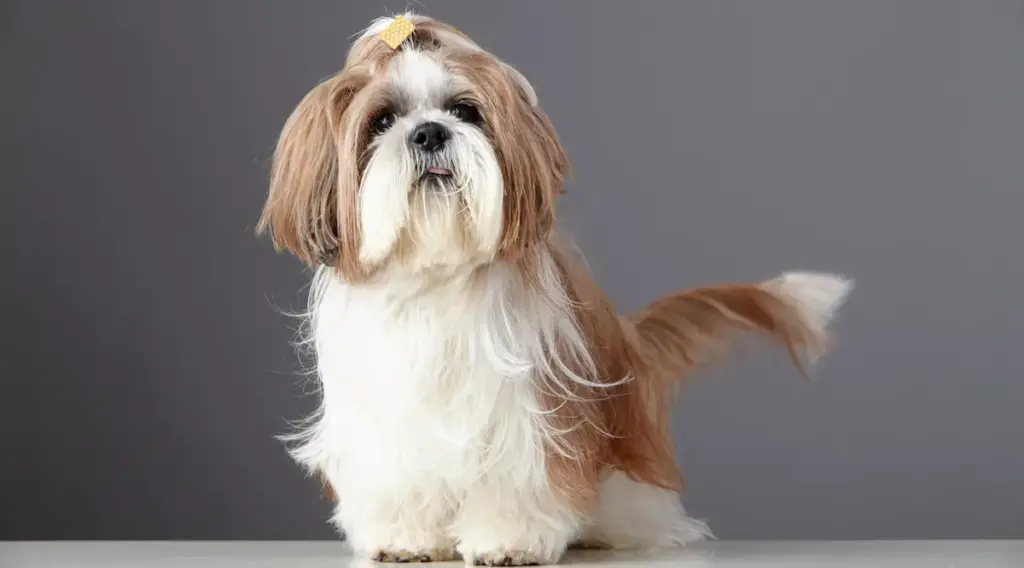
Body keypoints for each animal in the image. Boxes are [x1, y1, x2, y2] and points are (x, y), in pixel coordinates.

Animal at [256, 11, 847, 564]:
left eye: (465, 111)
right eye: (383, 120)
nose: (429, 132)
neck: (437, 276)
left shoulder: (526, 413)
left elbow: (515, 478)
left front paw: (507, 541)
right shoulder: (384, 412)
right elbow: (400, 476)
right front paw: (405, 538)